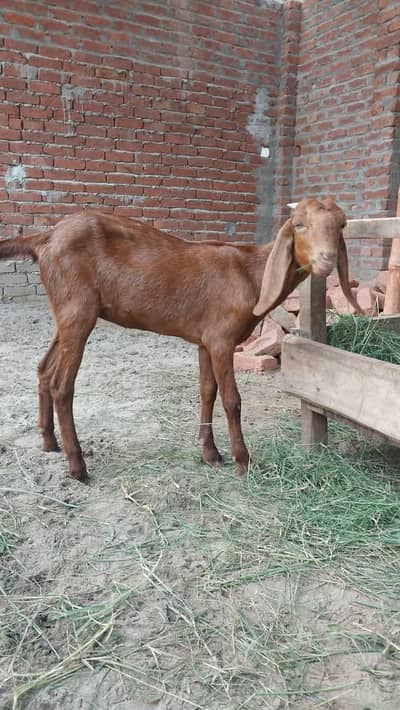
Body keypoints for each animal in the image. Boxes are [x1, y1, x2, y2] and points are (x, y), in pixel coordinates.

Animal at [0, 197, 360, 483]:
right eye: (299, 224)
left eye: (341, 225)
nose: (326, 259)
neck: (252, 274)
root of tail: (45, 237)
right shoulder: (222, 340)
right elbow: (232, 400)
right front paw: (243, 461)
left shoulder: (205, 340)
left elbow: (207, 392)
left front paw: (211, 454)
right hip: (78, 310)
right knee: (62, 385)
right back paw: (77, 467)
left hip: (66, 311)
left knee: (44, 369)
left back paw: (49, 442)